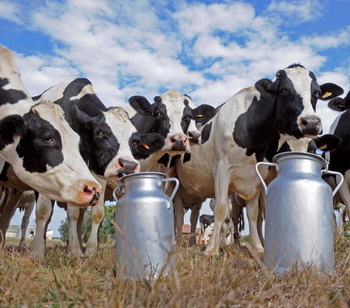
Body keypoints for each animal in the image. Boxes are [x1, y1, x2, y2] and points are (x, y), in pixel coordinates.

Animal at [172, 63, 342, 256]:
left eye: (317, 92)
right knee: (179, 215)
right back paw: (179, 243)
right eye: (283, 90)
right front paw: (211, 250)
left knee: (193, 216)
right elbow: (221, 209)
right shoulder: (222, 170)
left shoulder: (256, 177)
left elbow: (254, 213)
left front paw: (258, 247)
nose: (311, 123)